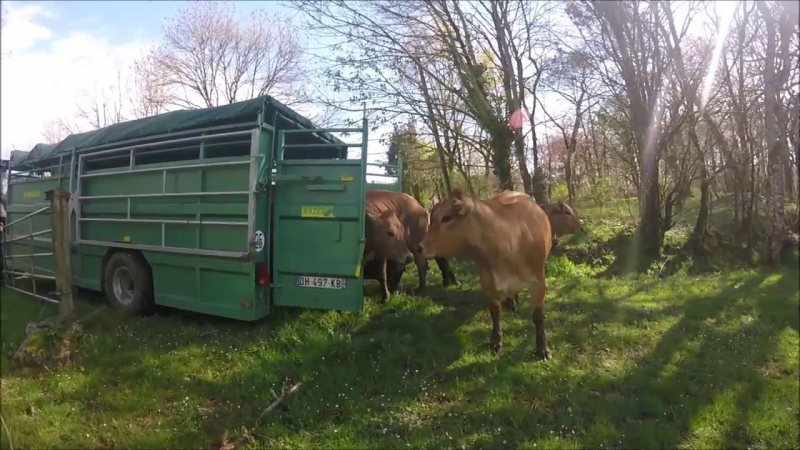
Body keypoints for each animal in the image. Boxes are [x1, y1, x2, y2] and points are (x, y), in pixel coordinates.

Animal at [418, 189, 556, 359]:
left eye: (446, 218)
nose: (420, 247)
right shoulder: (487, 280)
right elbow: (494, 311)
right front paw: (496, 341)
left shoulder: (538, 282)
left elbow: (538, 316)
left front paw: (543, 348)